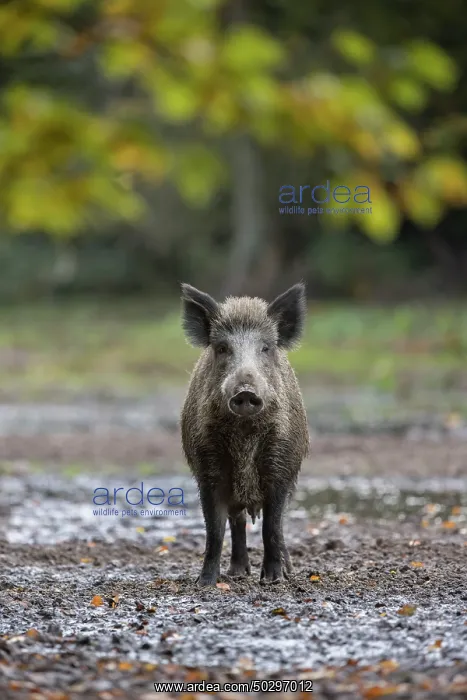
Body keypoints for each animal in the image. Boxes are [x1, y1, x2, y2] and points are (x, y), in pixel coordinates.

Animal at [180, 282, 309, 586]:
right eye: (222, 348)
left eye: (266, 347)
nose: (245, 392)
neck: (244, 436)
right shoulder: (208, 469)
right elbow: (214, 530)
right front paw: (205, 583)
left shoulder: (280, 467)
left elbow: (271, 526)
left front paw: (273, 580)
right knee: (237, 522)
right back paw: (237, 573)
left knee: (278, 525)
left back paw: (287, 572)